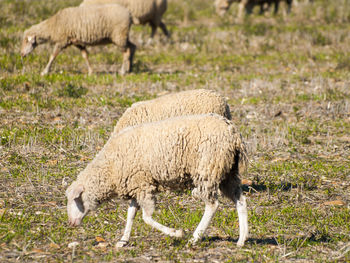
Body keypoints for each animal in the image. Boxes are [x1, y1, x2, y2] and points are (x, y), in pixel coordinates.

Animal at [66, 114, 249, 249]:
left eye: (75, 200)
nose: (71, 223)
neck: (109, 169)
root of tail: (234, 134)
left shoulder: (143, 185)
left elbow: (146, 218)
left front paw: (177, 233)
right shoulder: (135, 185)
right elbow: (130, 214)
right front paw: (123, 240)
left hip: (208, 169)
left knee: (212, 205)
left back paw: (194, 238)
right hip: (228, 172)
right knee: (240, 200)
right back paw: (242, 239)